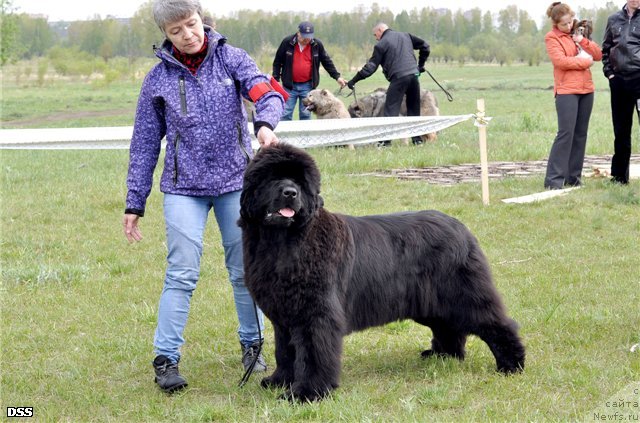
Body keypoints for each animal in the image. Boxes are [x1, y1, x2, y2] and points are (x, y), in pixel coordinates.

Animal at [240, 144, 524, 402]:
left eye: (300, 181)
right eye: (272, 178)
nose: (290, 192)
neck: (285, 241)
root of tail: (461, 227)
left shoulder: (316, 315)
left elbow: (312, 354)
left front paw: (307, 393)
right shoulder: (284, 316)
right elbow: (285, 351)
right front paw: (279, 381)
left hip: (463, 295)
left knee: (496, 323)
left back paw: (512, 365)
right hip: (432, 303)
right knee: (448, 326)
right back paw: (443, 356)